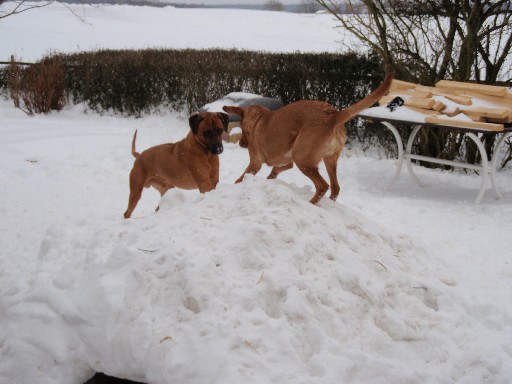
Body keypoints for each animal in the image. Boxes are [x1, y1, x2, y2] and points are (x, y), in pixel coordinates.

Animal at [222, 72, 394, 204]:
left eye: (242, 128)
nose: (241, 143)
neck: (259, 119)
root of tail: (333, 116)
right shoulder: (288, 160)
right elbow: (276, 169)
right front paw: (271, 177)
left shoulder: (255, 163)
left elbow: (240, 178)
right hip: (328, 160)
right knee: (335, 188)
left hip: (303, 160)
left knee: (323, 186)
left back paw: (311, 203)